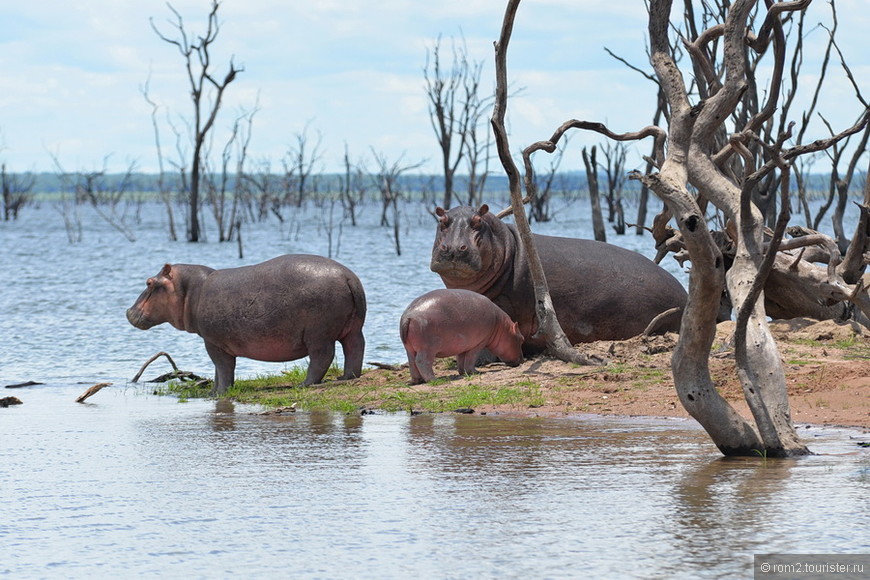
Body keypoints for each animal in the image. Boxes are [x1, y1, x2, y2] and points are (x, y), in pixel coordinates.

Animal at [125, 255, 364, 394]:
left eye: (149, 282)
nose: (127, 312)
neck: (190, 290)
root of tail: (348, 276)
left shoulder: (214, 343)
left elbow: (223, 367)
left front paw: (220, 392)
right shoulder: (215, 343)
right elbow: (217, 370)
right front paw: (213, 391)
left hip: (318, 335)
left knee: (322, 357)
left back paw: (304, 384)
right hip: (353, 329)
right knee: (355, 349)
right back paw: (347, 377)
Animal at [430, 204, 688, 348]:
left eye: (478, 222)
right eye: (442, 221)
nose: (454, 248)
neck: (508, 245)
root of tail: (686, 296)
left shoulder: (505, 305)